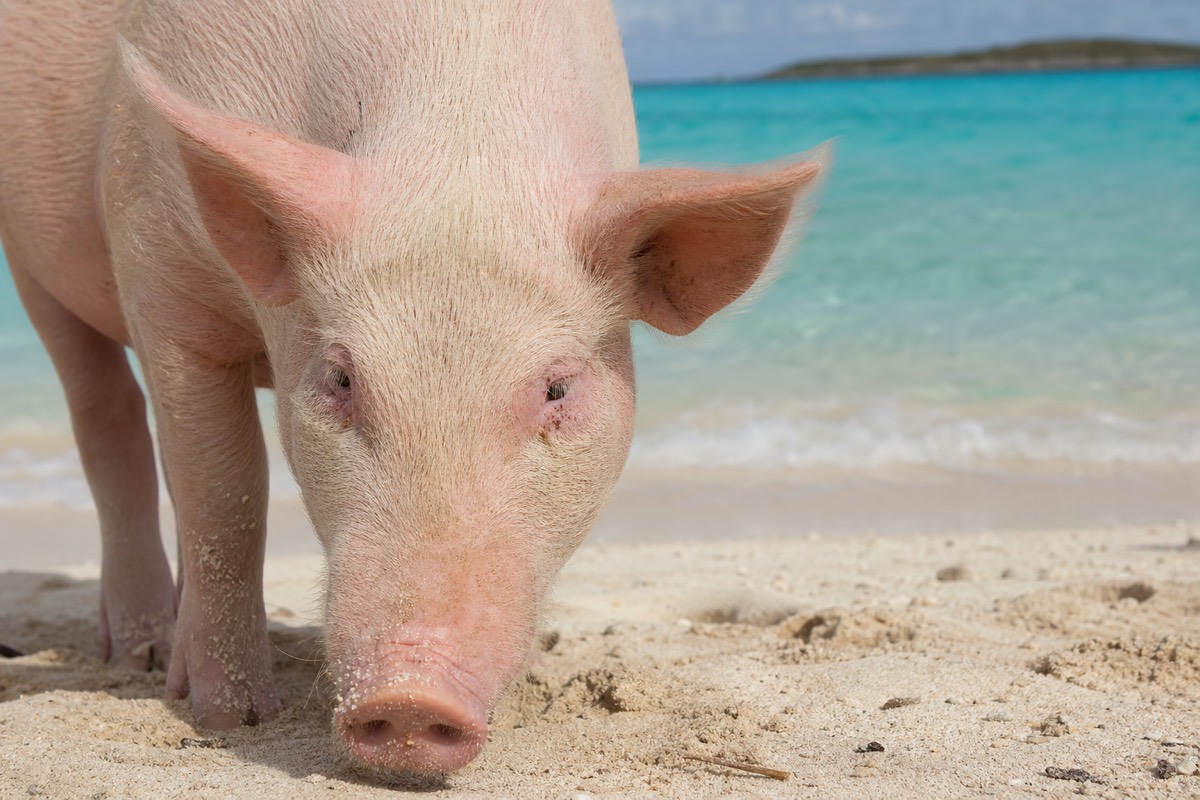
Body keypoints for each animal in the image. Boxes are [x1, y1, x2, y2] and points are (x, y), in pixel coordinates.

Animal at [0, 0, 822, 773]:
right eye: (340, 377)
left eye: (558, 390)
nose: (408, 696)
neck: (459, 126)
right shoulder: (159, 273)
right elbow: (224, 495)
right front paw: (231, 720)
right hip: (32, 260)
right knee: (107, 420)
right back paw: (138, 655)